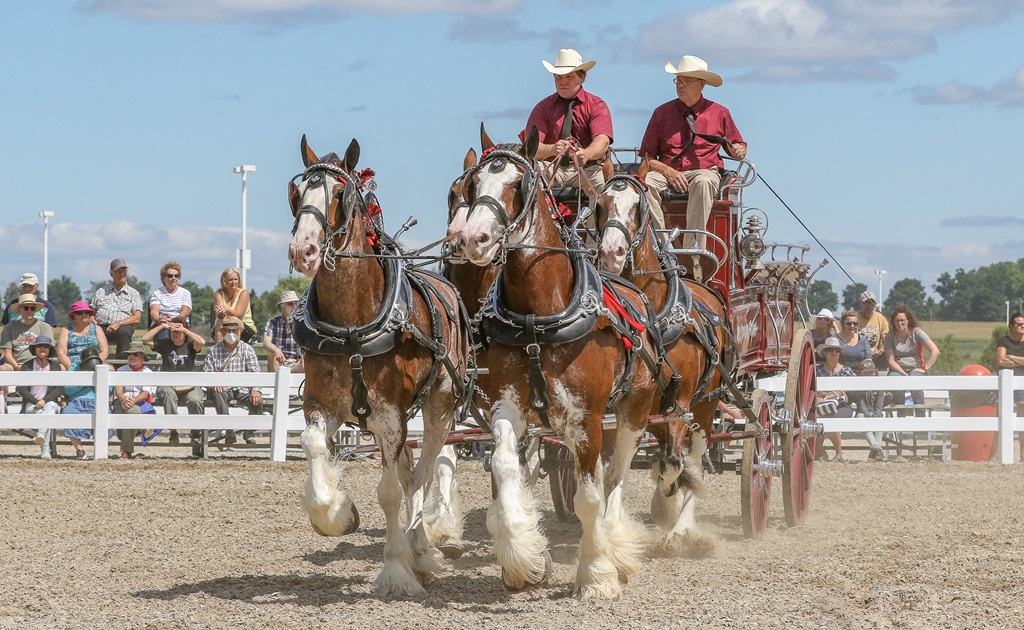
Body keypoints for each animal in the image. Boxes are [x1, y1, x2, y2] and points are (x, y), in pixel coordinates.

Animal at [287, 135, 472, 596]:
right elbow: (312, 444)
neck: (352, 325)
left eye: (340, 193)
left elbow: (389, 492)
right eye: (296, 193)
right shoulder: (324, 404)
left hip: (439, 408)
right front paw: (336, 515)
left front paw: (396, 569)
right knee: (411, 474)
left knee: (423, 474)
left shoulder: (391, 416)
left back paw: (420, 549)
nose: (303, 250)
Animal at [457, 127, 660, 599]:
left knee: (617, 474)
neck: (539, 315)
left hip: (635, 408)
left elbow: (591, 496)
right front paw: (523, 558)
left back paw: (616, 545)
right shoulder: (508, 407)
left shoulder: (587, 418)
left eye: (519, 183)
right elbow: (505, 467)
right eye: (472, 185)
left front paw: (597, 573)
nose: (473, 239)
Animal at [594, 158, 733, 556]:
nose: (611, 253)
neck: (653, 318)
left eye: (637, 209)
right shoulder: (620, 405)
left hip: (706, 404)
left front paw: (668, 508)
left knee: (695, 458)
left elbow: (674, 465)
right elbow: (615, 466)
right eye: (599, 204)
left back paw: (682, 526)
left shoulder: (680, 403)